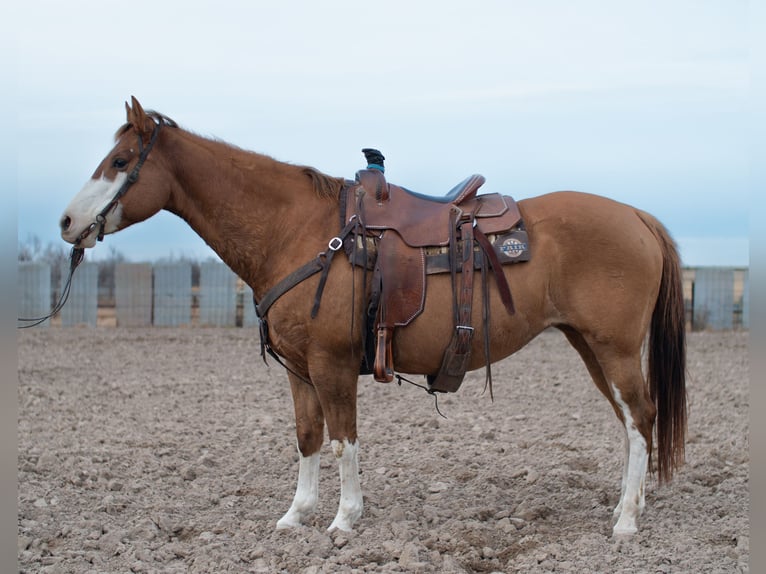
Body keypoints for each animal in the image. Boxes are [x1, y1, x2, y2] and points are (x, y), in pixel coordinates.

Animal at [57, 97, 688, 536]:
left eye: (119, 161)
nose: (66, 223)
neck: (299, 231)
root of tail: (637, 216)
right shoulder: (299, 370)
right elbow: (308, 437)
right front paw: (296, 515)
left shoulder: (332, 364)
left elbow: (343, 440)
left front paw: (344, 519)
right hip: (590, 345)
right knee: (632, 421)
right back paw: (623, 505)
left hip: (612, 347)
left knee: (640, 416)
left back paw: (626, 521)